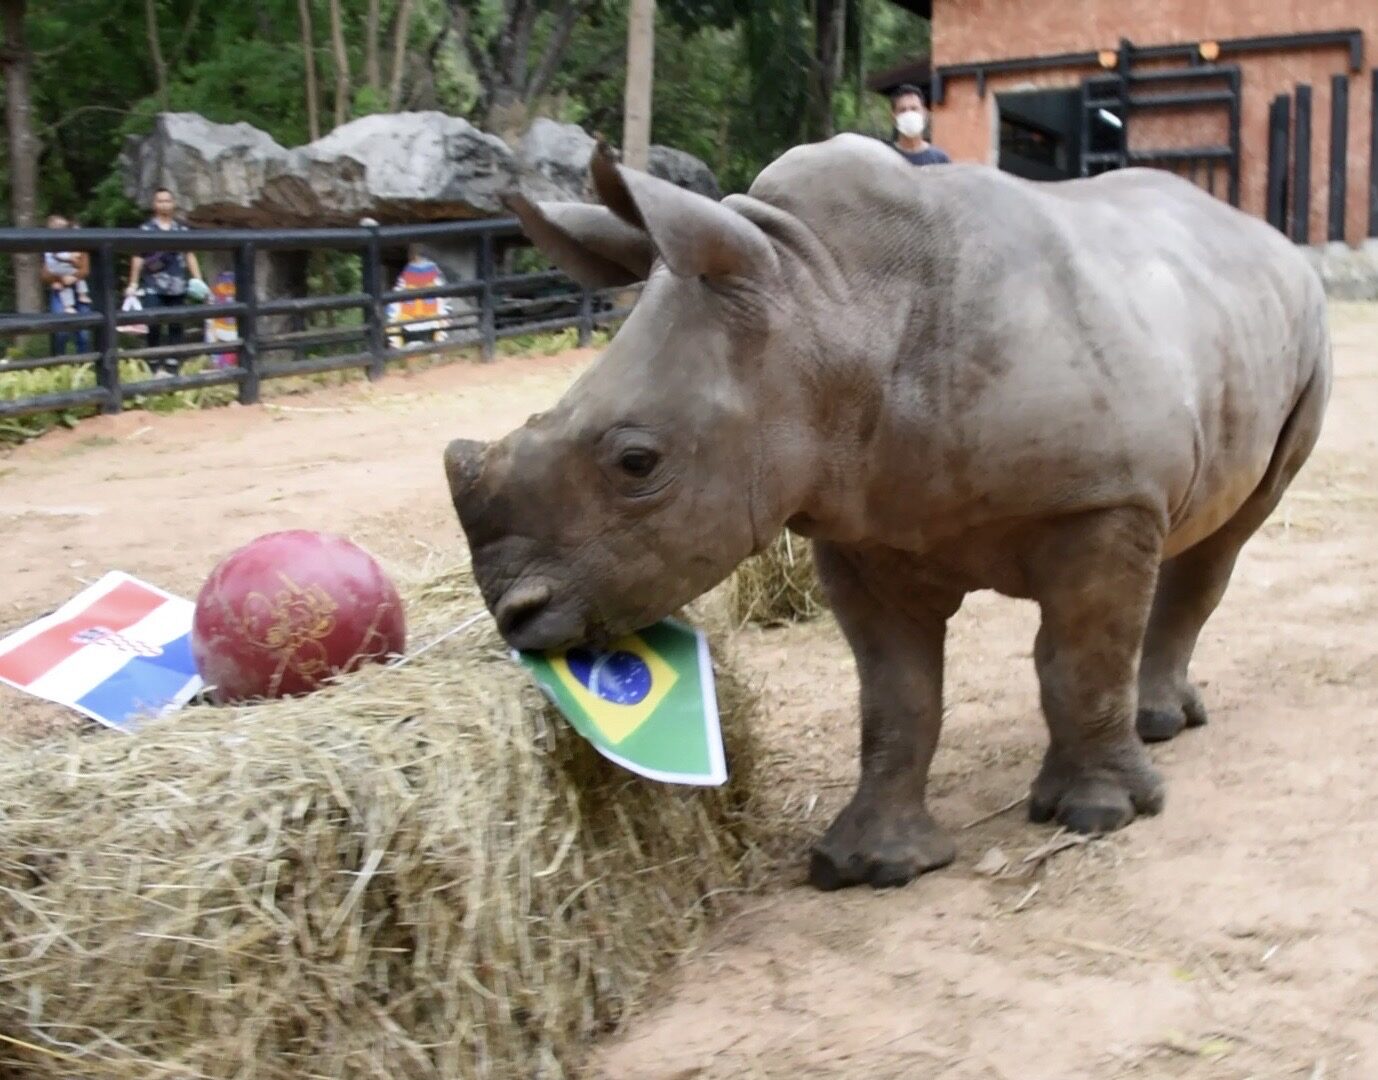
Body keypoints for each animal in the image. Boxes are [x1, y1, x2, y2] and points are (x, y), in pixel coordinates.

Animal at [446, 139, 1328, 892]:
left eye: (638, 464)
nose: (516, 614)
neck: (825, 300)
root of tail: (1265, 235)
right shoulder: (860, 528)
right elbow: (896, 697)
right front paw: (869, 866)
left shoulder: (1103, 498)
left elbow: (1081, 657)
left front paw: (1100, 815)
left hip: (1305, 331)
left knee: (1231, 532)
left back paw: (1158, 726)